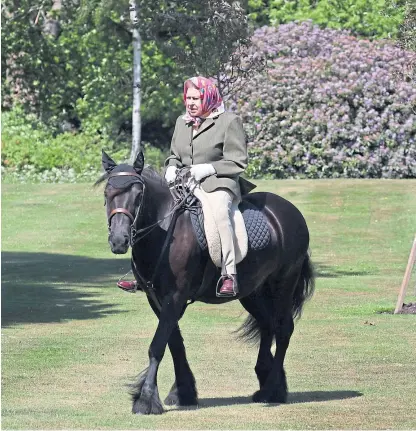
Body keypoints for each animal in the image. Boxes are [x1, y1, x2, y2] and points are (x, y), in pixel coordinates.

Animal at [96, 151, 312, 416]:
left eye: (138, 195)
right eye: (107, 193)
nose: (119, 240)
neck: (165, 229)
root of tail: (289, 212)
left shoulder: (175, 297)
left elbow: (157, 345)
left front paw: (146, 399)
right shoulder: (156, 299)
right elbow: (174, 343)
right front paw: (182, 392)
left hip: (283, 284)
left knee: (282, 330)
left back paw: (272, 390)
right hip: (252, 292)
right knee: (267, 325)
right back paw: (268, 383)